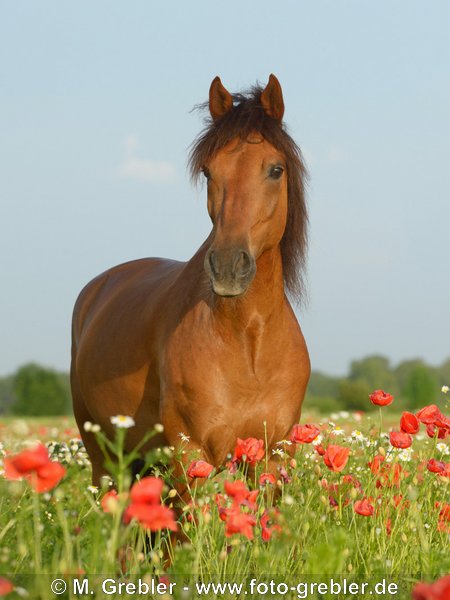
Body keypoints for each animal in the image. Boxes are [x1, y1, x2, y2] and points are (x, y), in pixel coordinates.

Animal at [70, 74, 312, 492]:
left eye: (276, 169)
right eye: (208, 172)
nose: (228, 266)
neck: (247, 338)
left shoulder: (273, 455)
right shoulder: (189, 453)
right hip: (104, 457)